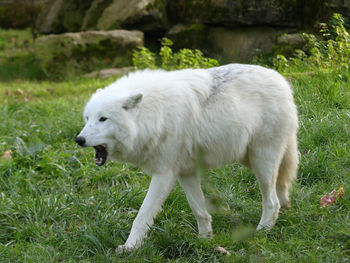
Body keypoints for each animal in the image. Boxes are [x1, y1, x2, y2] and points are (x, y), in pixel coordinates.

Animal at [76, 64, 298, 254]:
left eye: (103, 119)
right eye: (87, 118)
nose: (79, 139)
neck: (153, 114)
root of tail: (281, 80)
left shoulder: (164, 174)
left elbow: (142, 215)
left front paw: (130, 247)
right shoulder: (186, 172)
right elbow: (199, 210)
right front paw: (205, 240)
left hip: (261, 162)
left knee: (272, 202)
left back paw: (262, 232)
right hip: (251, 160)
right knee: (282, 187)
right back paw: (285, 211)